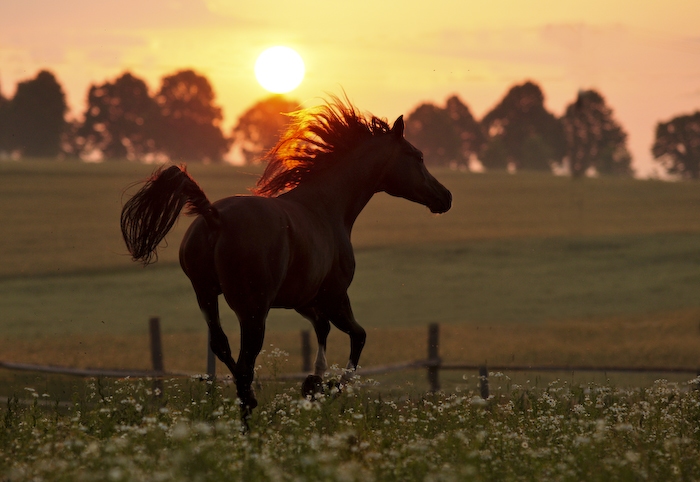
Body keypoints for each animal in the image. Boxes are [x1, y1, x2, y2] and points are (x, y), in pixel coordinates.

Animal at [121, 97, 454, 422]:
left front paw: (313, 385)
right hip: (252, 309)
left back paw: (251, 401)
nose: (446, 197)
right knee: (245, 363)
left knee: (222, 347)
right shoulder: (335, 296)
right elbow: (358, 336)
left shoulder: (305, 301)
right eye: (417, 156)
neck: (327, 208)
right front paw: (325, 388)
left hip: (205, 295)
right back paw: (249, 418)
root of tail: (215, 218)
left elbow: (323, 331)